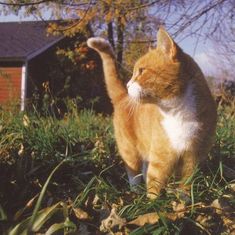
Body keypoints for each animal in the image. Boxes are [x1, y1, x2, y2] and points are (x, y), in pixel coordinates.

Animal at [87, 28, 218, 200]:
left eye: (141, 71)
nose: (128, 85)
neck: (179, 113)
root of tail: (123, 97)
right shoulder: (159, 158)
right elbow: (155, 181)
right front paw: (152, 203)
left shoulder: (192, 158)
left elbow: (185, 184)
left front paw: (184, 202)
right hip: (129, 150)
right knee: (134, 172)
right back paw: (136, 191)